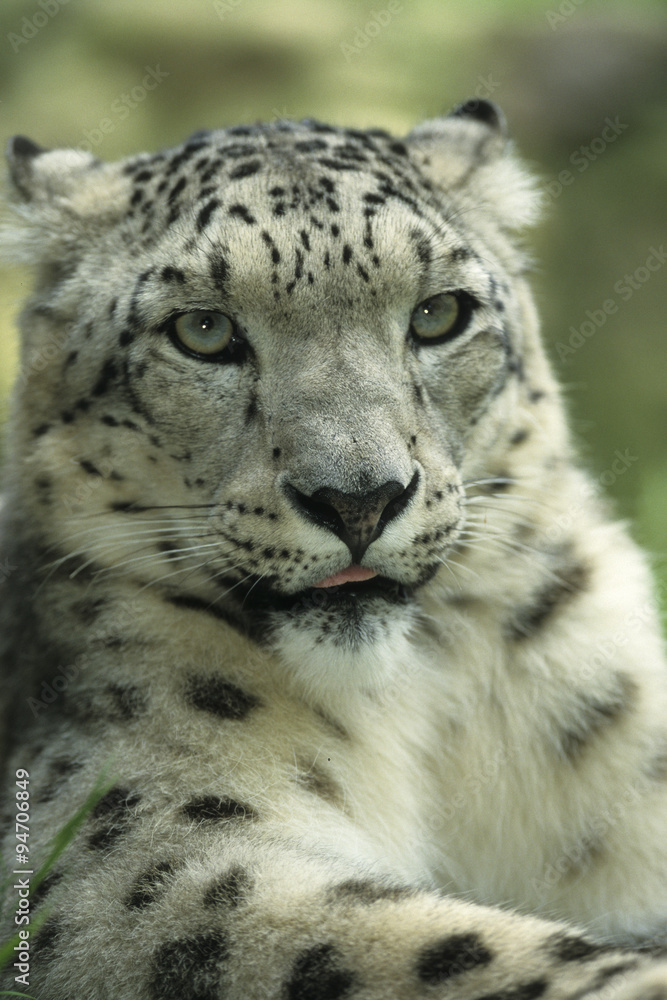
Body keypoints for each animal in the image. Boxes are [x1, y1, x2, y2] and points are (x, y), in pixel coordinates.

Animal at [1, 98, 667, 1000]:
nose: (359, 498)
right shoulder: (139, 856)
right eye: (202, 329)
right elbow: (417, 942)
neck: (423, 705)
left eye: (438, 314)